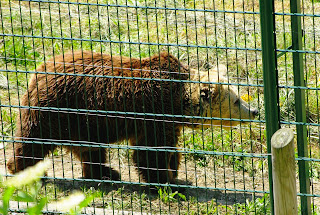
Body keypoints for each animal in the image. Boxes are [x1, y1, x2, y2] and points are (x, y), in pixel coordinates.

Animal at [6, 50, 258, 185]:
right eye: (237, 100)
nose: (254, 111)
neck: (179, 101)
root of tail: (38, 70)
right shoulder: (154, 112)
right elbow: (151, 151)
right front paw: (167, 179)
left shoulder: (163, 121)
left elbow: (167, 148)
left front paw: (174, 170)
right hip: (56, 108)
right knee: (33, 139)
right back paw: (22, 170)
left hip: (83, 121)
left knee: (90, 149)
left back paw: (106, 173)